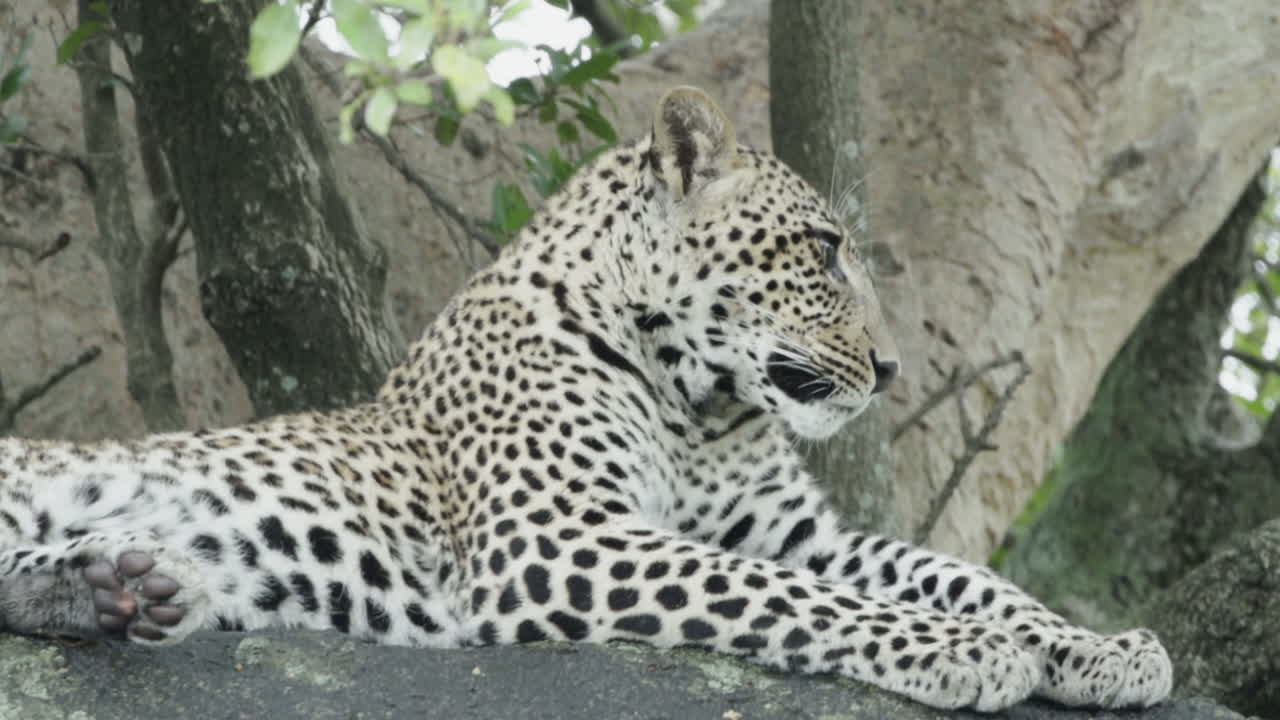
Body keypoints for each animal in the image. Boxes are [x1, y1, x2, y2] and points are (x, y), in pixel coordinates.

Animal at [0, 87, 1171, 712]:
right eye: (821, 251)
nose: (890, 370)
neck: (699, 405)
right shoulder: (556, 536)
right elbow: (793, 599)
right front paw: (962, 651)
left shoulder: (800, 535)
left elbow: (957, 573)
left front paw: (1096, 648)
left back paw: (124, 587)